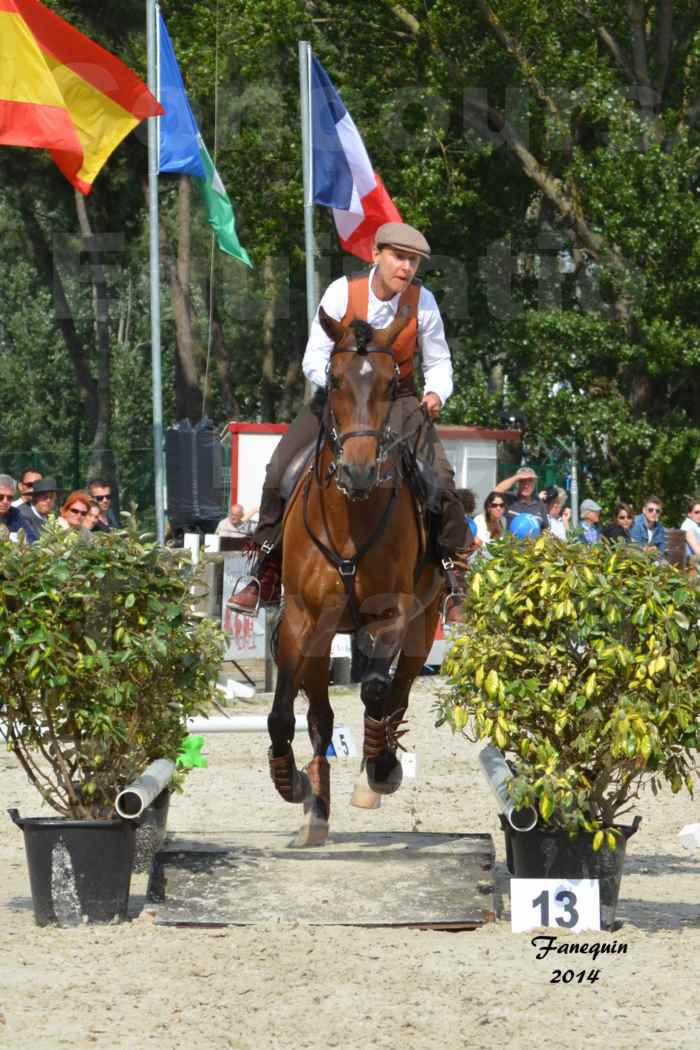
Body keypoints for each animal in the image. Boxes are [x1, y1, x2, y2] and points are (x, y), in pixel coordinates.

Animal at [268, 302, 442, 844]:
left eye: (391, 383)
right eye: (336, 379)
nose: (359, 471)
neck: (351, 516)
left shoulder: (391, 616)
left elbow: (376, 692)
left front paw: (381, 767)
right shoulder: (301, 620)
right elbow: (283, 714)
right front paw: (294, 785)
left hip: (423, 625)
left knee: (396, 694)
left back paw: (375, 774)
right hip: (323, 635)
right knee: (321, 716)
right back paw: (317, 811)